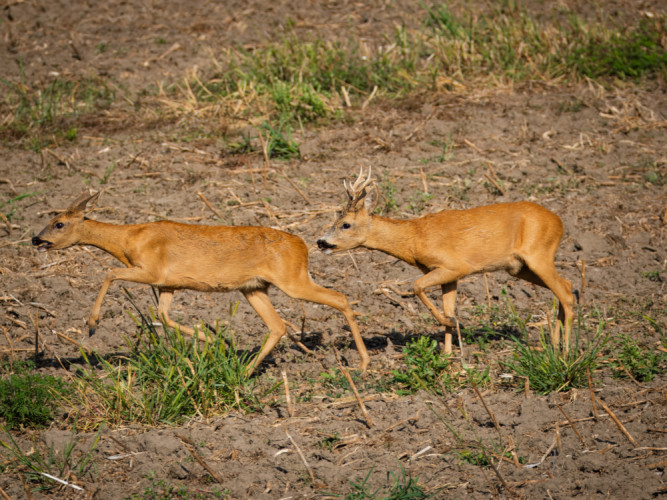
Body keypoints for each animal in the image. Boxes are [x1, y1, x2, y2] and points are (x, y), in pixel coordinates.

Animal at [32, 193, 370, 374]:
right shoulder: (168, 285)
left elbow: (109, 273)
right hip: (254, 288)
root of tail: (302, 245)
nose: (36, 239)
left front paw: (91, 325)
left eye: (59, 223)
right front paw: (212, 341)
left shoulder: (151, 272)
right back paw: (246, 370)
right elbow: (163, 316)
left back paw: (364, 363)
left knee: (340, 298)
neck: (129, 240)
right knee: (277, 326)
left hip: (292, 280)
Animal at [318, 170, 576, 354]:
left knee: (566, 293)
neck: (414, 238)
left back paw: (566, 351)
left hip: (538, 254)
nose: (321, 242)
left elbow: (417, 286)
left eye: (345, 224)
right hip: (520, 267)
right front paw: (449, 352)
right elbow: (447, 305)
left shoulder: (454, 265)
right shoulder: (449, 275)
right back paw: (555, 344)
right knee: (567, 286)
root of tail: (560, 222)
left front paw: (453, 324)